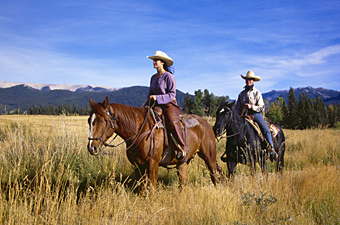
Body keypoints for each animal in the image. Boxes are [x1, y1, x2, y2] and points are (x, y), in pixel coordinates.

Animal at [87, 96, 220, 190]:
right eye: (89, 120)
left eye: (103, 120)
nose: (91, 147)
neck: (140, 130)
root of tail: (206, 124)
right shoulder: (137, 165)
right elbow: (141, 189)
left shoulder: (153, 163)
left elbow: (151, 188)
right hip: (182, 162)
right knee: (184, 182)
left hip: (209, 157)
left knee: (215, 176)